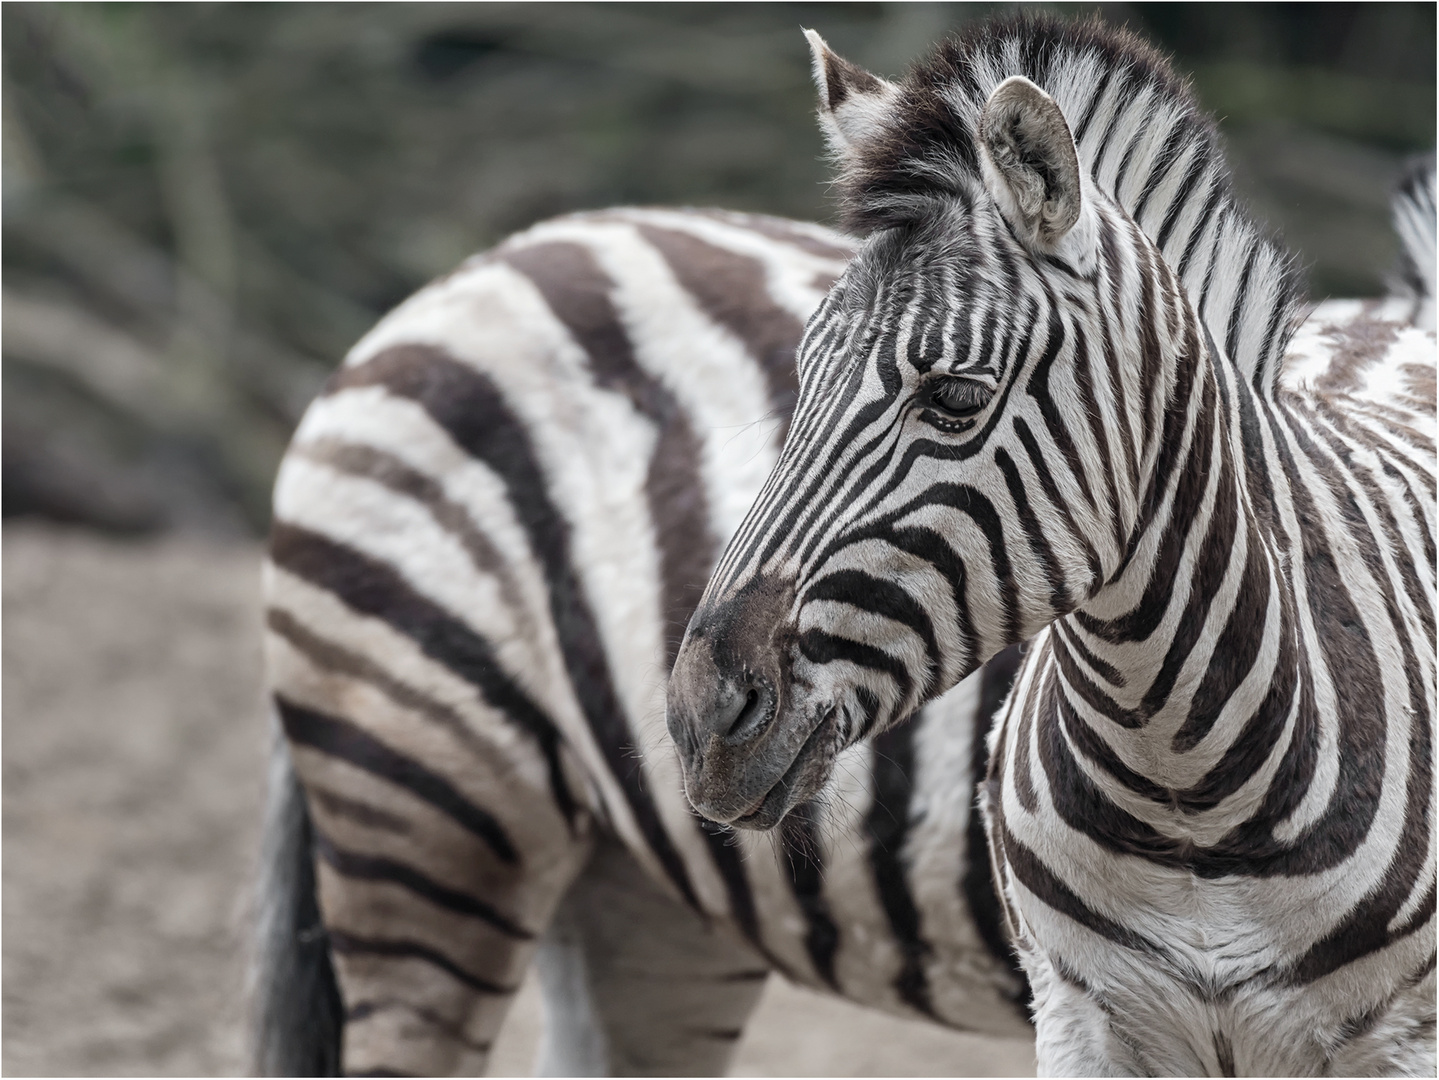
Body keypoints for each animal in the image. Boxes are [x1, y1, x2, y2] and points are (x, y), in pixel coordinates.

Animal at [667, 16, 1433, 1080]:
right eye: (803, 376)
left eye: (954, 398)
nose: (699, 719)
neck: (1189, 795)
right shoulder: (1078, 1012)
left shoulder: (1401, 1035)